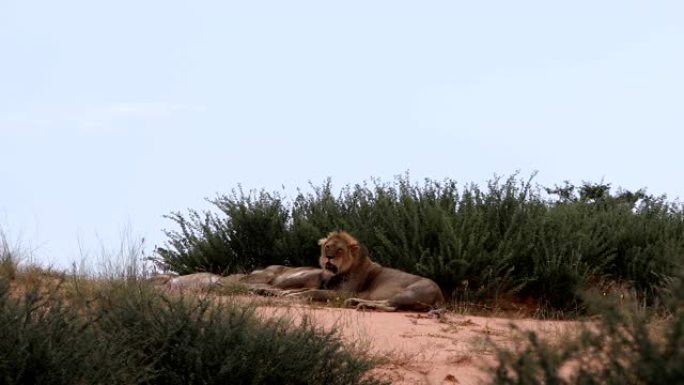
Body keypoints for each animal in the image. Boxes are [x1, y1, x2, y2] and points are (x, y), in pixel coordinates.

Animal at [288, 230, 444, 310]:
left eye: (340, 250)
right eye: (327, 246)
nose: (329, 257)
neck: (336, 273)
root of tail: (440, 295)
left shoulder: (342, 293)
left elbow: (313, 292)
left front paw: (293, 296)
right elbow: (306, 289)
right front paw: (288, 293)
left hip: (408, 293)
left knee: (390, 306)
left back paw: (360, 304)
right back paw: (355, 302)